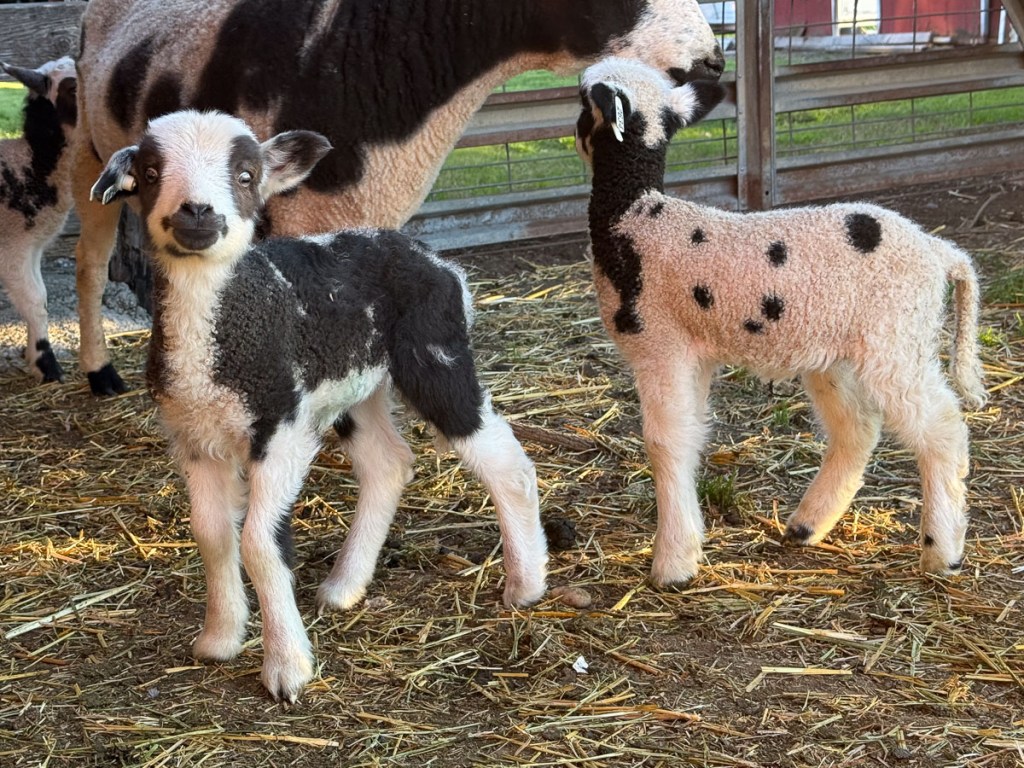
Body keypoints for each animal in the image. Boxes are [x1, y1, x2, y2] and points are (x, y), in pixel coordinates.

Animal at [89, 109, 548, 703]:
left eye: (245, 175)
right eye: (149, 173)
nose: (196, 212)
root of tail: (430, 257)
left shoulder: (280, 428)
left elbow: (259, 543)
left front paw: (287, 666)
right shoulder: (193, 437)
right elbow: (212, 536)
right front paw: (219, 639)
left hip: (436, 351)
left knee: (503, 461)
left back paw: (527, 583)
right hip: (357, 386)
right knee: (387, 463)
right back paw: (345, 586)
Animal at [574, 58, 987, 586]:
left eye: (582, 100)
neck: (638, 216)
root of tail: (940, 252)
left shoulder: (658, 344)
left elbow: (663, 443)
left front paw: (671, 564)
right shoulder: (693, 354)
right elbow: (690, 437)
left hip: (896, 340)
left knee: (942, 429)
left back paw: (942, 550)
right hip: (837, 354)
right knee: (858, 429)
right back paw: (807, 525)